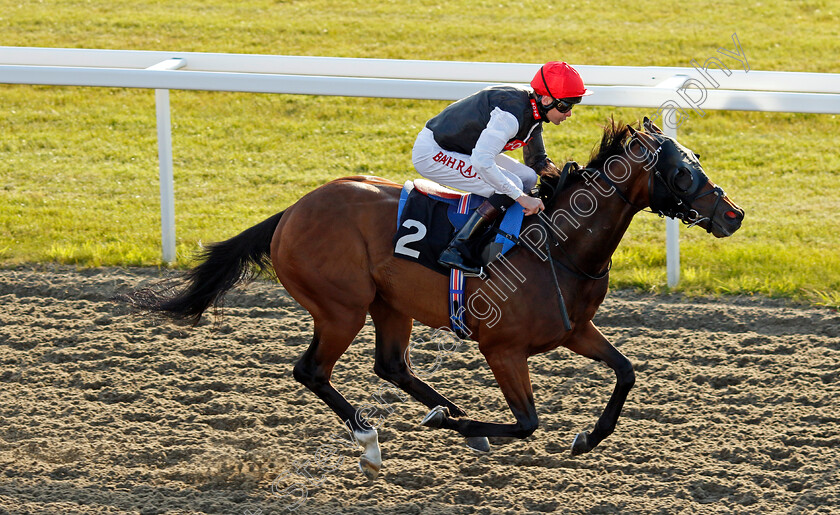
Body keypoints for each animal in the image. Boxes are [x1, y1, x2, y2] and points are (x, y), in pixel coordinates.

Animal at [123, 117, 740, 480]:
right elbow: (527, 422)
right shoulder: (501, 348)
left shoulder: (574, 331)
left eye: (695, 161)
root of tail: (292, 210)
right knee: (312, 370)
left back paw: (446, 412)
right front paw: (459, 427)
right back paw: (376, 438)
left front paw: (587, 437)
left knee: (391, 365)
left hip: (389, 306)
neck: (558, 245)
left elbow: (626, 372)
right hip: (342, 307)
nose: (732, 215)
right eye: (683, 172)